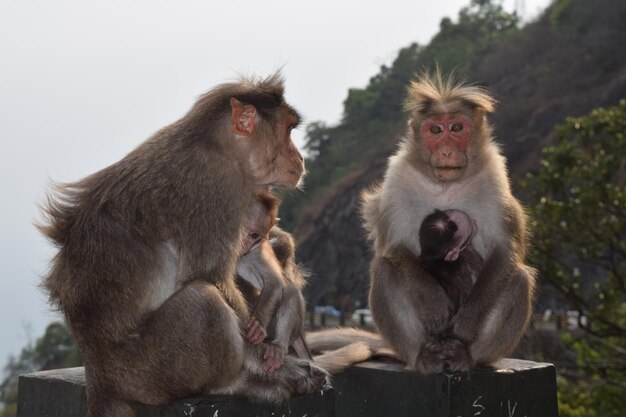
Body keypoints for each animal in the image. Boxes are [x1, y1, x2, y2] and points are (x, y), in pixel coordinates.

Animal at [234, 190, 312, 372]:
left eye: (255, 235)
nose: (244, 242)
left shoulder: (258, 251)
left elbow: (275, 283)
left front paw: (258, 324)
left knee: (289, 291)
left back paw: (278, 347)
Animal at [360, 71, 536, 374]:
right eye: (434, 130)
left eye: (456, 128)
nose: (445, 151)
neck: (446, 185)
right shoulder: (397, 178)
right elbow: (395, 248)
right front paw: (434, 302)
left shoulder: (495, 179)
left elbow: (504, 251)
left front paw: (467, 320)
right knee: (384, 269)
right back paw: (423, 356)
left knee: (518, 279)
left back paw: (465, 355)